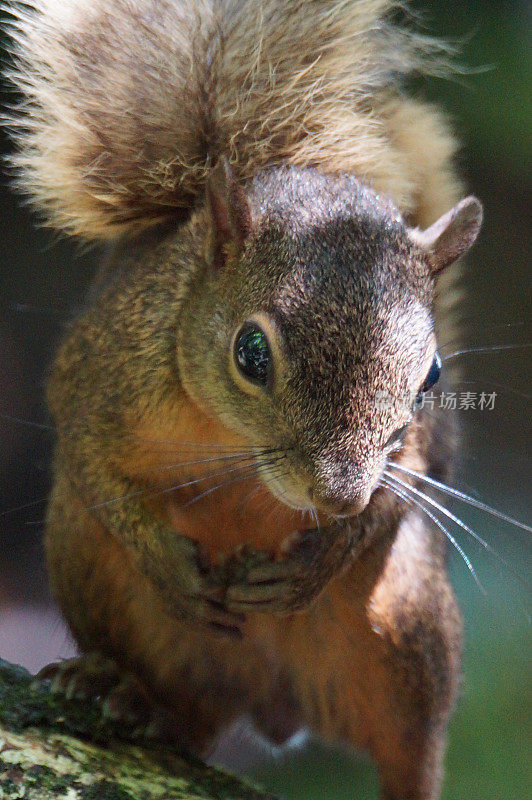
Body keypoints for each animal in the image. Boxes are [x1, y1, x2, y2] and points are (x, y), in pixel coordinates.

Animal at [5, 1, 486, 800]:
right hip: (94, 572)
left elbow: (404, 486)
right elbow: (92, 466)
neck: (230, 443)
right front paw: (169, 562)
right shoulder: (97, 377)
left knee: (410, 751)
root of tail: (272, 700)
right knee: (185, 708)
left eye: (434, 377)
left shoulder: (415, 456)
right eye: (250, 353)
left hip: (405, 624)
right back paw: (118, 688)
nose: (338, 498)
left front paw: (322, 555)